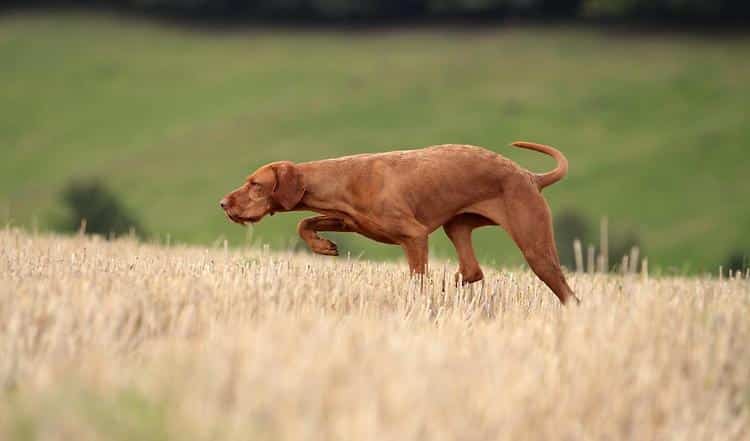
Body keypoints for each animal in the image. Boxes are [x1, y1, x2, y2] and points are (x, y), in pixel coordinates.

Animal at [219, 143, 580, 304]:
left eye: (256, 185)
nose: (223, 204)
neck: (342, 178)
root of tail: (530, 176)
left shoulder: (414, 235)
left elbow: (417, 279)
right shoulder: (352, 221)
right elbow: (305, 223)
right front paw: (323, 246)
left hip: (535, 247)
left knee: (568, 294)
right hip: (457, 226)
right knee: (472, 271)